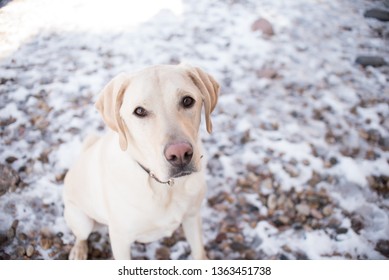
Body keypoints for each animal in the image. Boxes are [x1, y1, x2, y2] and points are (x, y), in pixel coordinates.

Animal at [65, 64, 220, 260]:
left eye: (187, 101)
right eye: (139, 111)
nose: (180, 154)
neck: (165, 187)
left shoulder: (192, 217)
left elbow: (199, 252)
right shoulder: (120, 240)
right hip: (81, 220)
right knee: (81, 235)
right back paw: (79, 250)